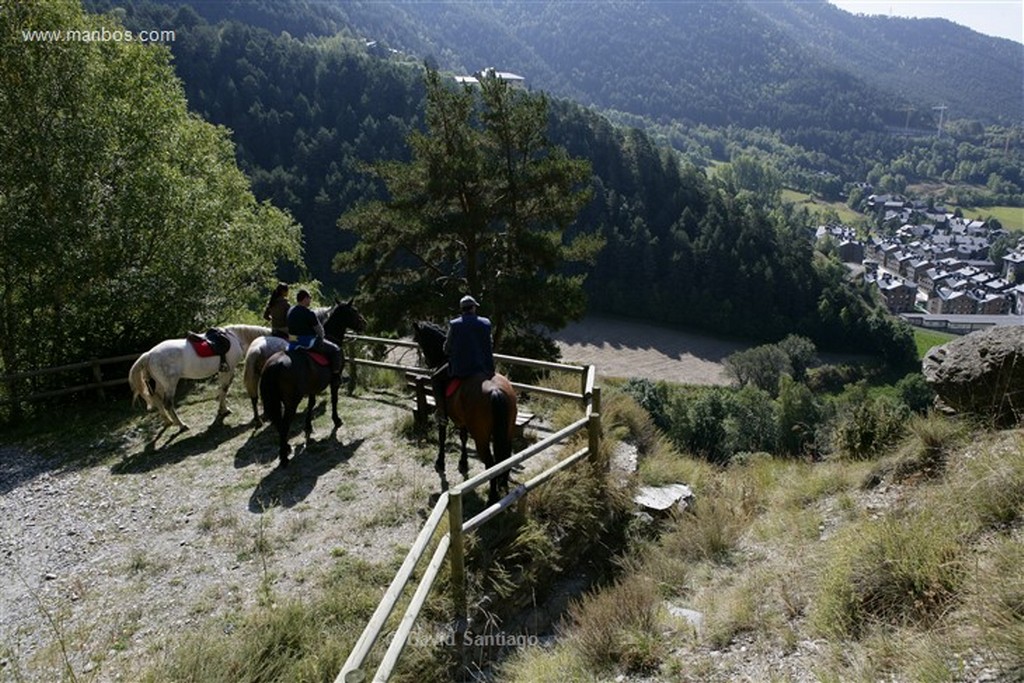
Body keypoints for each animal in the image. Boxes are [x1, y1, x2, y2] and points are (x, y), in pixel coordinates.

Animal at [127, 325, 270, 430]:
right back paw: (181, 425)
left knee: (157, 400)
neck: (236, 338)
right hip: (170, 384)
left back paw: (168, 421)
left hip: (160, 384)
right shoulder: (228, 371)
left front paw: (222, 410)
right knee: (168, 404)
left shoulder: (223, 371)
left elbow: (222, 390)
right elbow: (224, 389)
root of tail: (149, 354)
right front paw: (224, 410)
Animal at [258, 301, 366, 466]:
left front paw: (308, 426)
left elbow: (311, 404)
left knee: (278, 423)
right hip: (291, 402)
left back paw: (286, 448)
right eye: (354, 311)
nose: (364, 323)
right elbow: (334, 399)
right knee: (284, 424)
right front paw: (336, 420)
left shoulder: (312, 387)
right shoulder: (334, 381)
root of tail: (275, 364)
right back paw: (284, 458)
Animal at [409, 319, 516, 501]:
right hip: (506, 431)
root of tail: (496, 391)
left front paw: (440, 463)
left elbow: (442, 435)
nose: (428, 363)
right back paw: (503, 488)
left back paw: (492, 497)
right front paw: (463, 463)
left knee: (490, 463)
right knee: (505, 458)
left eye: (418, 340)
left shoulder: (446, 415)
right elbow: (463, 438)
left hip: (481, 436)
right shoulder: (462, 419)